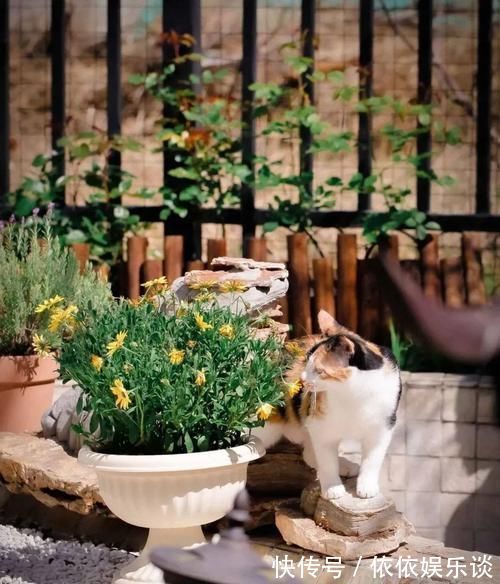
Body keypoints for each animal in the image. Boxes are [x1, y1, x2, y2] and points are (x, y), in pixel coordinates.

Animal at [254, 312, 402, 500]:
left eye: (319, 371)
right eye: (306, 361)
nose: (302, 380)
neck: (352, 395)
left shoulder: (382, 429)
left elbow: (372, 460)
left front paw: (367, 486)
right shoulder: (320, 428)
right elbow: (326, 461)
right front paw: (333, 488)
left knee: (309, 454)